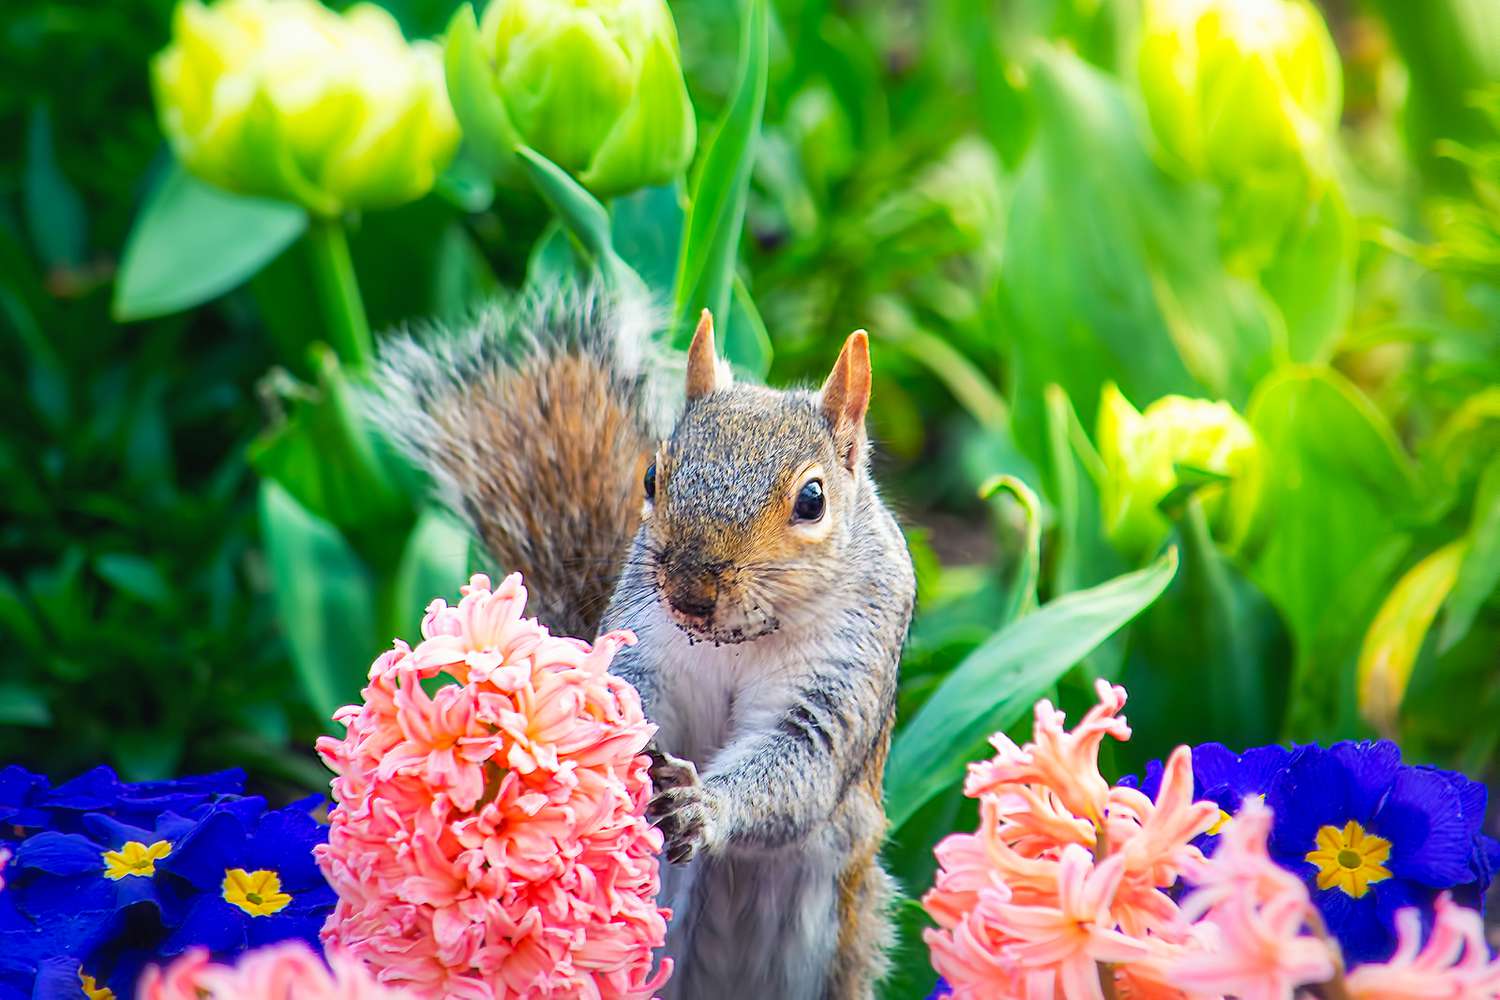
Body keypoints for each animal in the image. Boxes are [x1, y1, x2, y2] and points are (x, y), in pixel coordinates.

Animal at [370, 285, 916, 1000]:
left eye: (813, 500)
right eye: (653, 477)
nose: (690, 589)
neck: (737, 639)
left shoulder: (845, 668)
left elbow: (803, 758)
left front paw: (703, 806)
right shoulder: (644, 642)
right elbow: (627, 702)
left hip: (833, 928)